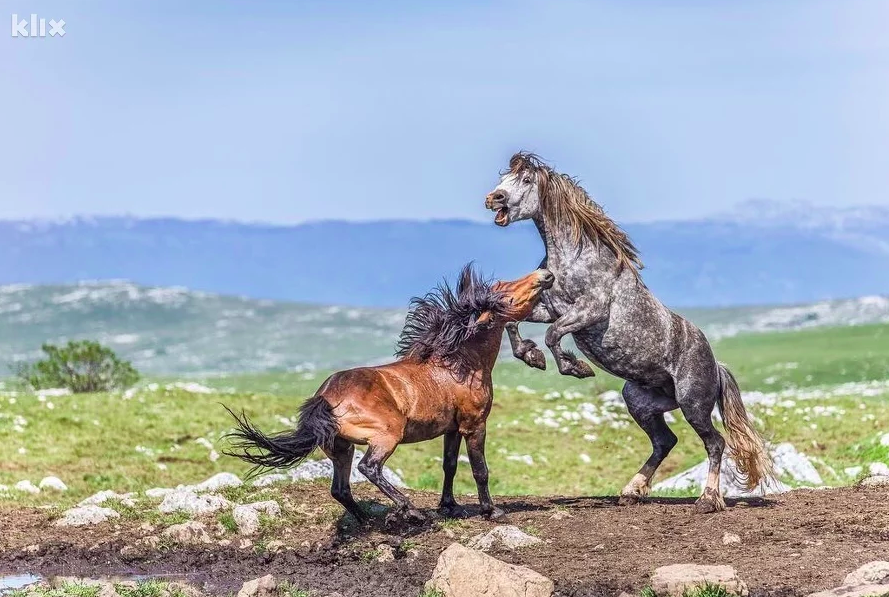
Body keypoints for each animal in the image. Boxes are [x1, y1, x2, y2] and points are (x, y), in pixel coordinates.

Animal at [225, 264, 552, 520]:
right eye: (504, 292)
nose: (545, 274)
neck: (460, 364)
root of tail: (327, 396)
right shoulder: (474, 425)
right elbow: (480, 470)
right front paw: (491, 511)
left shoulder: (451, 428)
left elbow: (449, 466)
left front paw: (449, 506)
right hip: (386, 435)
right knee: (369, 468)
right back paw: (410, 510)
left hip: (340, 447)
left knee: (340, 489)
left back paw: (367, 520)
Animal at [486, 151, 772, 510]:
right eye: (504, 178)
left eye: (525, 180)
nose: (493, 198)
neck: (575, 258)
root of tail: (716, 365)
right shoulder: (549, 308)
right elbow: (512, 321)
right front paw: (532, 356)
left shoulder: (587, 311)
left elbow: (553, 335)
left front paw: (575, 367)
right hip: (640, 400)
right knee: (665, 441)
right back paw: (631, 491)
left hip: (692, 404)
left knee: (715, 443)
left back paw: (707, 499)